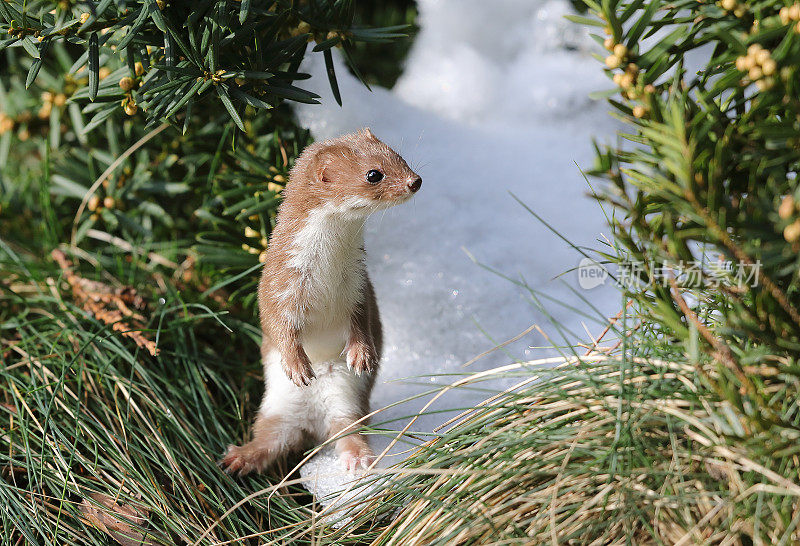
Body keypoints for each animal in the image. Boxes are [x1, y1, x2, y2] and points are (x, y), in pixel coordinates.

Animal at [219, 127, 418, 472]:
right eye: (374, 174)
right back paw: (239, 457)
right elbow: (277, 323)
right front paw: (298, 366)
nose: (415, 180)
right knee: (269, 439)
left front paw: (362, 354)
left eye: (398, 156)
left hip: (346, 397)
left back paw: (358, 457)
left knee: (347, 429)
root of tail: (311, 423)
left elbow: (363, 320)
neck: (328, 271)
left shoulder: (359, 286)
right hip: (275, 405)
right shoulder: (279, 282)